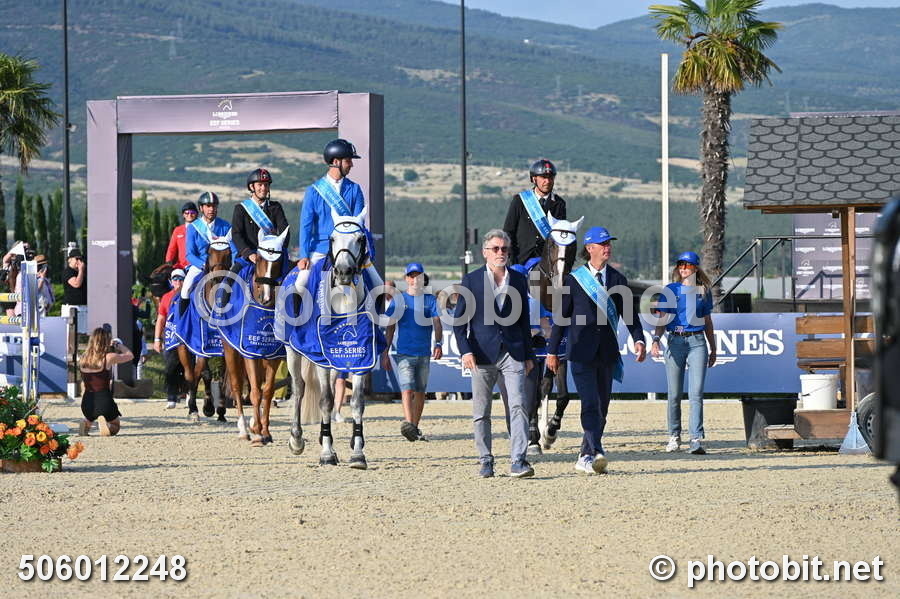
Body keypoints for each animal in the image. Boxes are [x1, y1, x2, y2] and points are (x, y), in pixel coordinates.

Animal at [216, 228, 289, 446]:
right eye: (260, 259)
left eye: (279, 261)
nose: (266, 297)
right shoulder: (249, 352)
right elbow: (255, 391)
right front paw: (257, 434)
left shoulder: (274, 355)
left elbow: (267, 391)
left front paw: (264, 431)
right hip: (231, 350)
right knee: (237, 386)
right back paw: (243, 429)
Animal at [280, 206, 385, 469]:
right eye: (332, 238)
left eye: (360, 239)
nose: (344, 272)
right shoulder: (320, 357)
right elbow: (325, 400)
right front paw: (327, 453)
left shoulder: (362, 355)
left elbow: (357, 402)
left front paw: (357, 453)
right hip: (292, 351)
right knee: (299, 387)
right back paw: (296, 439)